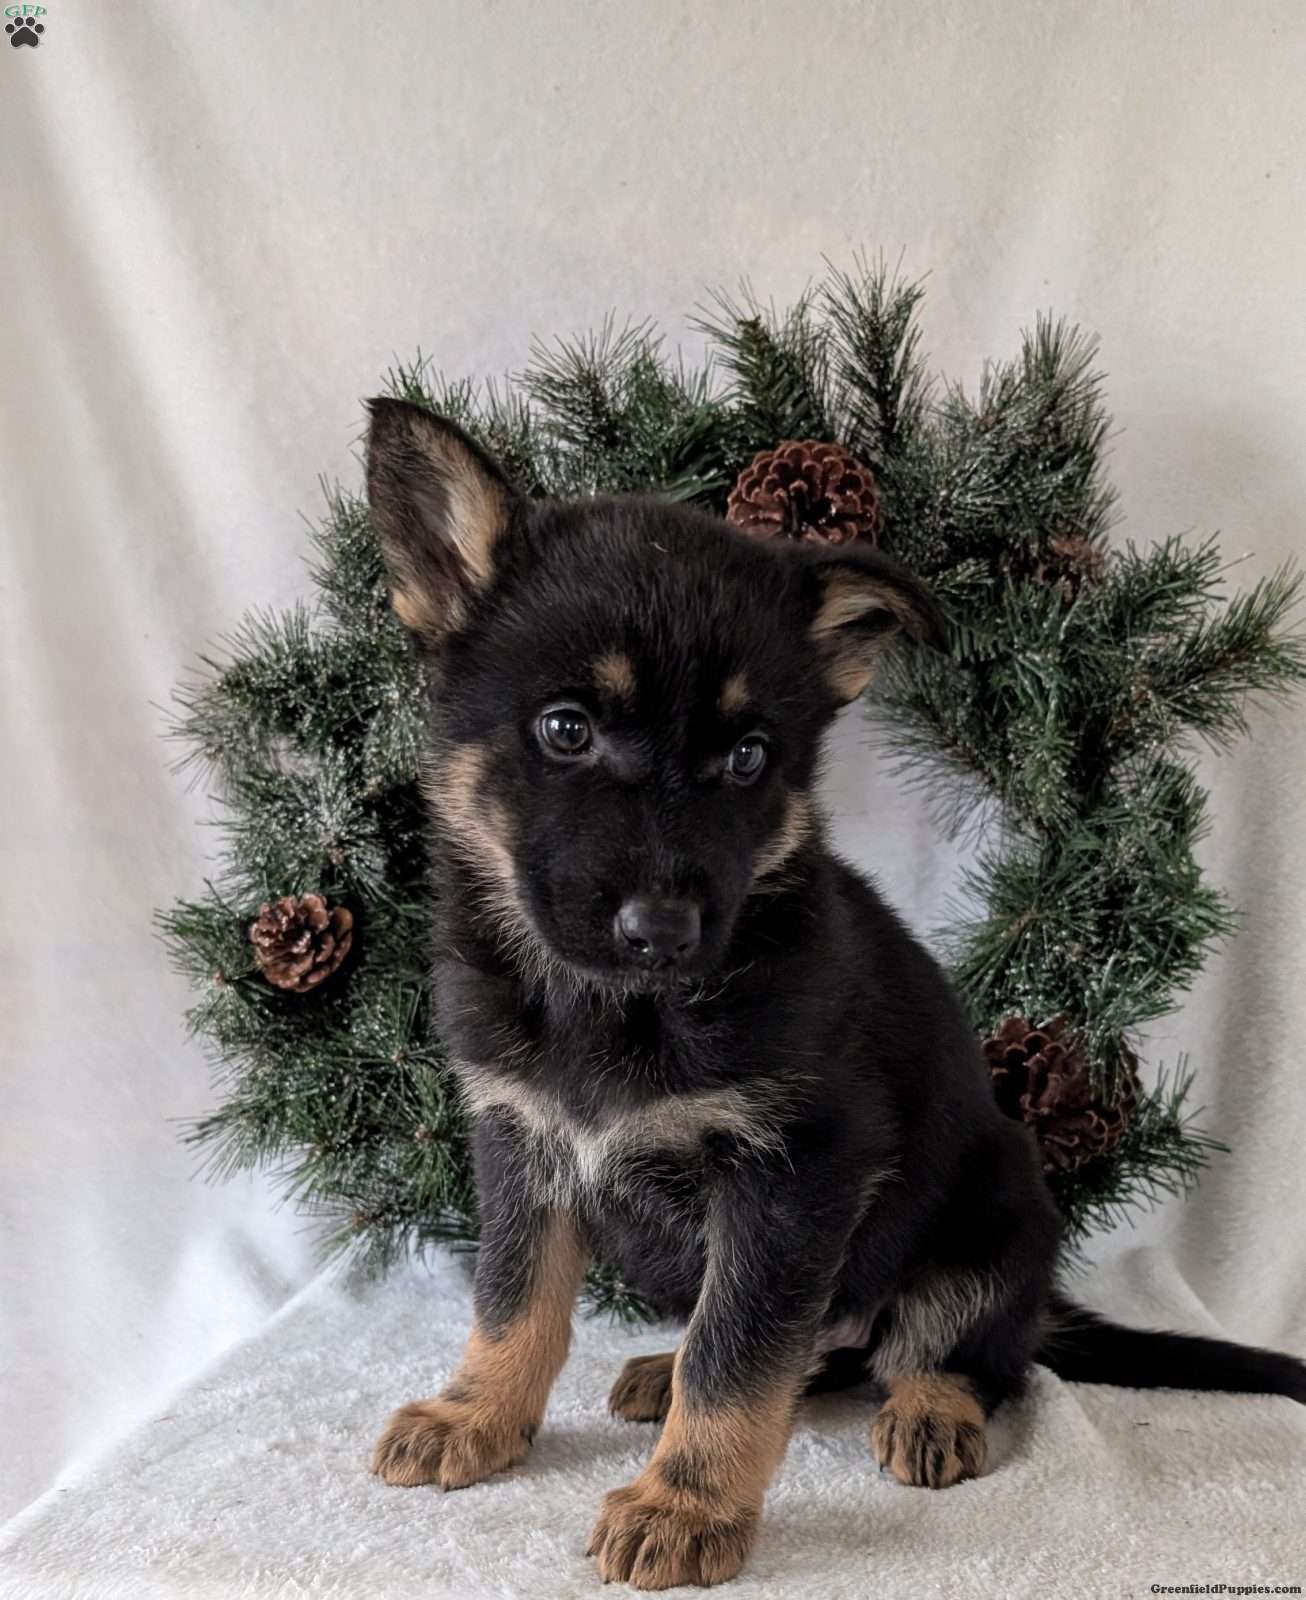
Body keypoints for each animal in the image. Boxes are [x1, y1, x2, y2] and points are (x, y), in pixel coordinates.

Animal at [362, 397, 1306, 1590]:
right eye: (565, 728)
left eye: (750, 757)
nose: (664, 932)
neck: (610, 1010)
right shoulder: (522, 1143)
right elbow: (514, 1299)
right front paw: (476, 1415)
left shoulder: (797, 1173)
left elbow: (740, 1354)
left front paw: (685, 1505)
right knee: (824, 1346)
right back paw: (662, 1367)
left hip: (994, 1224)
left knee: (965, 1353)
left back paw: (932, 1408)